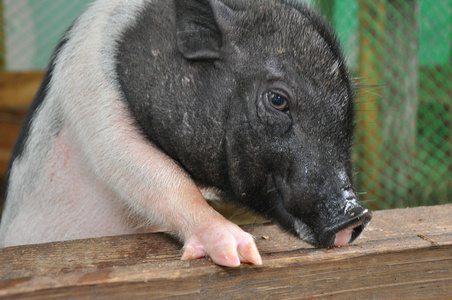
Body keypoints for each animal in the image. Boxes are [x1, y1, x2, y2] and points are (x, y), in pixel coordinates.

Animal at [0, 0, 370, 268]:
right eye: (277, 100)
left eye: (347, 107)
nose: (357, 215)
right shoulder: (93, 100)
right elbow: (151, 172)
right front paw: (242, 255)